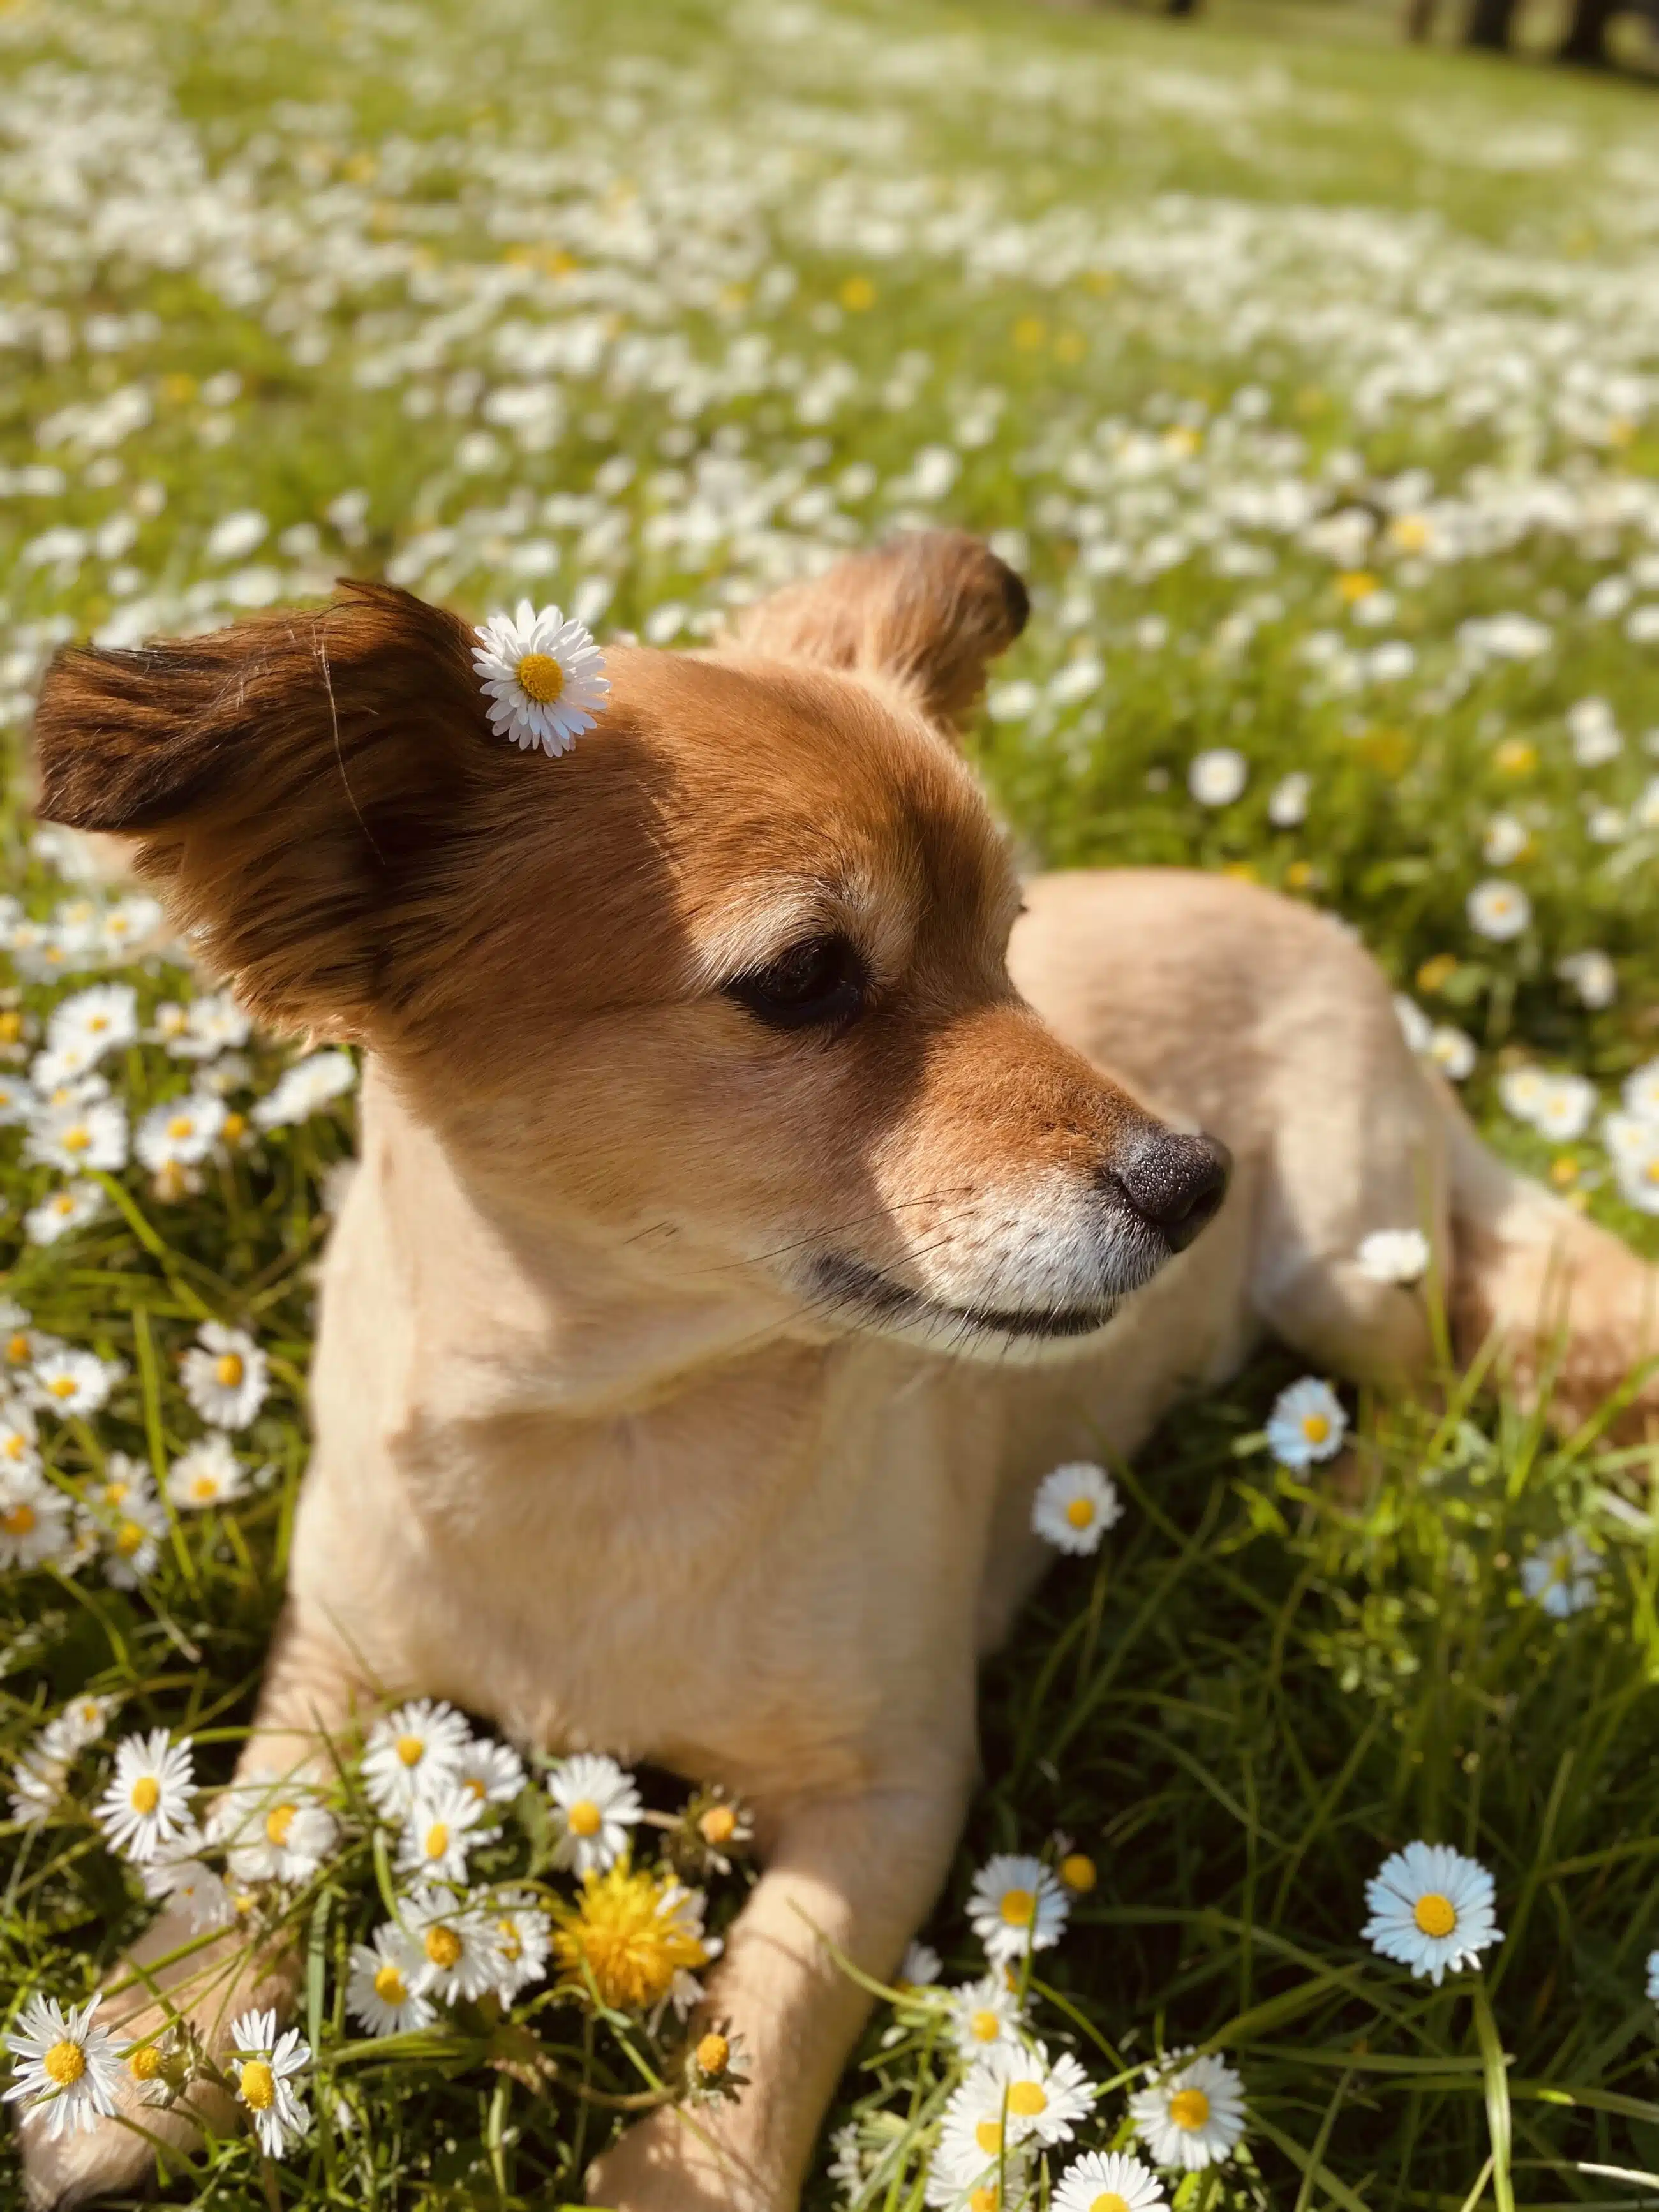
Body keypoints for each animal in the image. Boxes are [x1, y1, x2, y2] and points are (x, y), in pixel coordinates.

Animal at [22, 535, 1659, 2212]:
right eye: (806, 977)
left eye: (1008, 944)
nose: (1195, 1175)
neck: (605, 1429)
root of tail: (1354, 962)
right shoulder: (333, 1659)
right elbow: (254, 1824)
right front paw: (146, 2033)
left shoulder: (895, 1790)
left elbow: (776, 1989)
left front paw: (684, 2166)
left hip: (1343, 1263)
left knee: (1433, 1379)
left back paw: (1336, 1496)